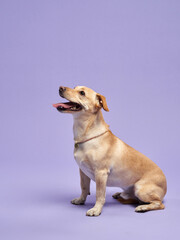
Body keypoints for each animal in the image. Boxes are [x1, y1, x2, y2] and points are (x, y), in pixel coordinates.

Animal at [52, 86, 167, 216]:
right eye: (74, 87)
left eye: (82, 93)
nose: (61, 87)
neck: (86, 135)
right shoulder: (83, 172)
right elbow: (84, 188)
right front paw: (81, 200)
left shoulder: (100, 173)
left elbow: (99, 194)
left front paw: (96, 209)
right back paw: (120, 194)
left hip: (140, 189)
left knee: (159, 204)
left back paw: (143, 207)